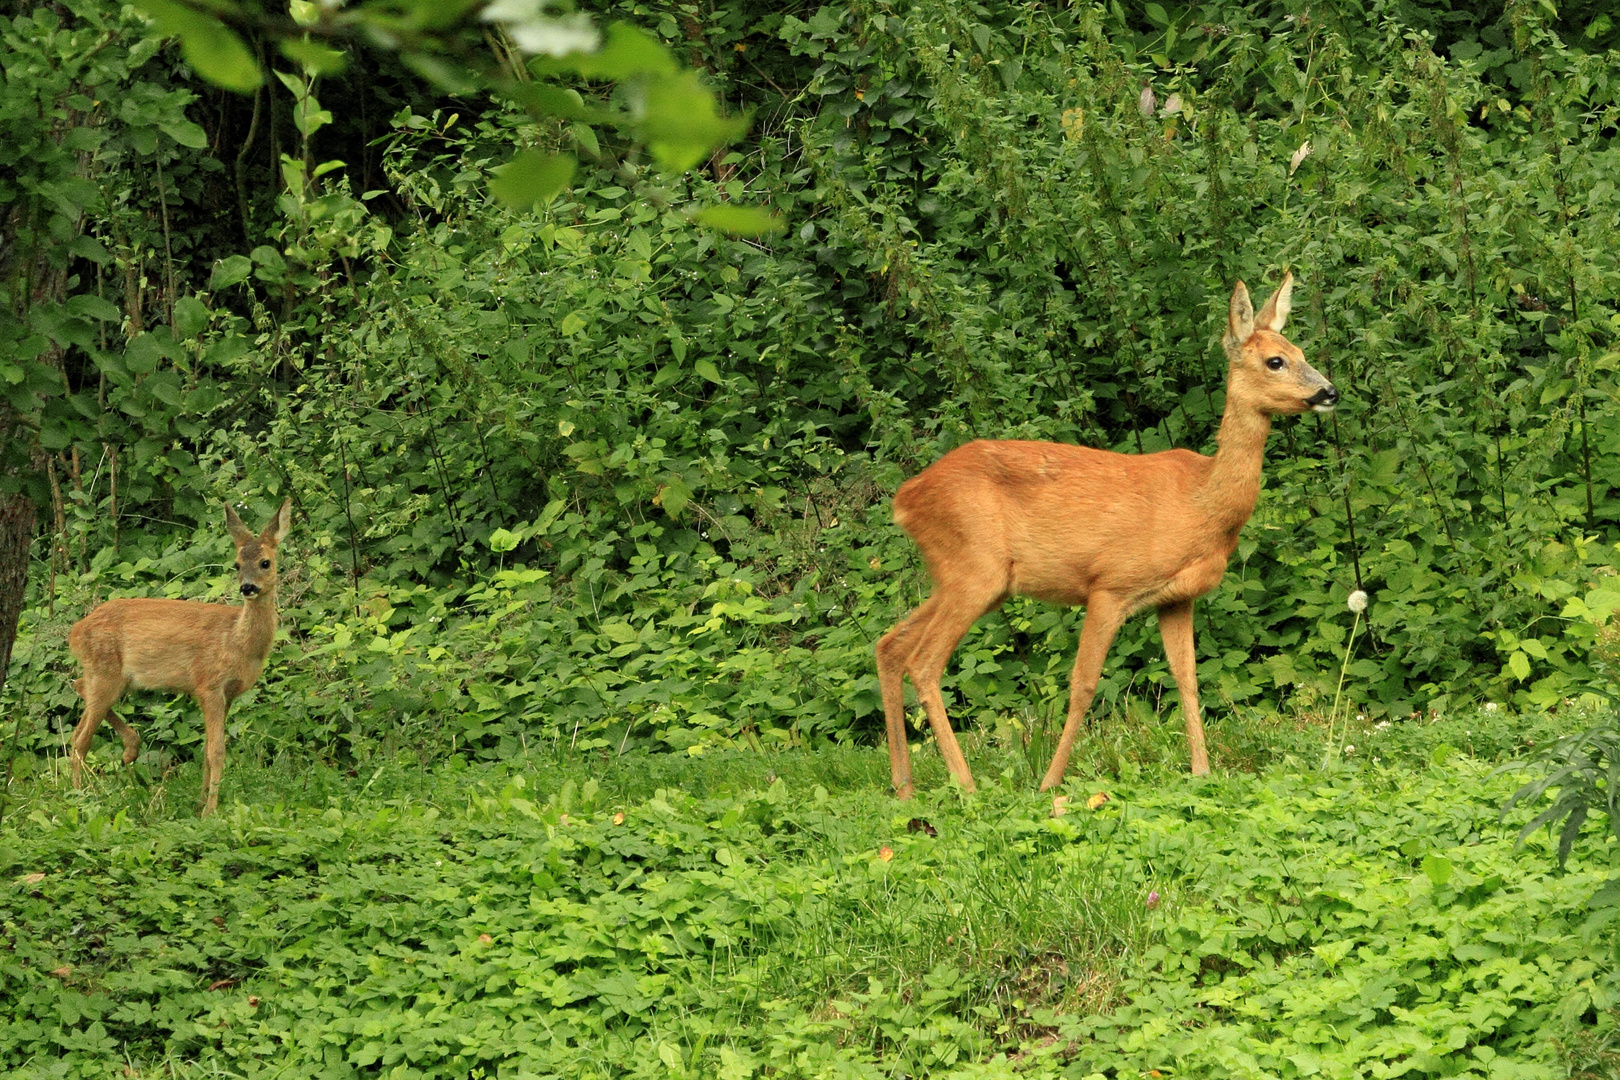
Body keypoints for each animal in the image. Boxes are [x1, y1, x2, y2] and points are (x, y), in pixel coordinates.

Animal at [68, 501, 293, 816]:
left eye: (265, 563)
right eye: (236, 564)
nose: (247, 587)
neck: (236, 641)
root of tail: (75, 632)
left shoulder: (227, 694)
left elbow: (208, 750)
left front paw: (199, 802)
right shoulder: (209, 684)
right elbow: (217, 750)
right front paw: (210, 812)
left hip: (108, 675)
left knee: (77, 698)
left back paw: (127, 752)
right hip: (106, 672)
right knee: (80, 740)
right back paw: (82, 797)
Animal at [881, 272, 1334, 793]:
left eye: (1300, 350)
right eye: (1275, 361)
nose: (1329, 392)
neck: (1199, 504)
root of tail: (904, 500)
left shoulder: (1176, 598)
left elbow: (1188, 677)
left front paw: (1201, 772)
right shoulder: (1109, 585)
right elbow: (1083, 686)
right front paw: (1049, 785)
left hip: (968, 577)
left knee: (890, 644)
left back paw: (905, 789)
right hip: (974, 568)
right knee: (923, 661)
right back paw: (967, 787)